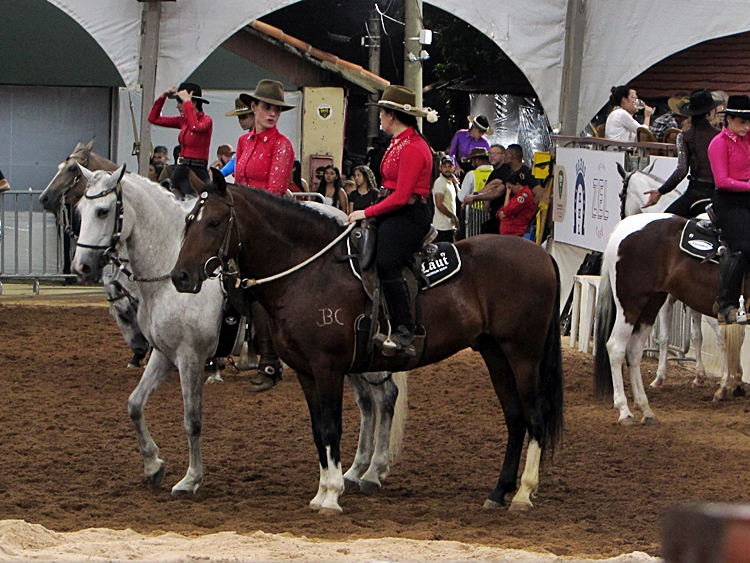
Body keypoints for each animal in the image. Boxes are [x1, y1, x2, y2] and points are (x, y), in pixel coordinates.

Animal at [71, 165, 408, 496]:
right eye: (79, 210)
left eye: (102, 211)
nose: (81, 266)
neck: (166, 274)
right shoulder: (165, 355)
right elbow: (134, 405)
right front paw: (153, 466)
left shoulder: (190, 357)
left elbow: (192, 420)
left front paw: (190, 478)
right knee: (367, 403)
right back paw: (356, 471)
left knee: (385, 396)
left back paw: (373, 471)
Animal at [169, 174, 564, 514]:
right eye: (188, 220)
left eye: (214, 222)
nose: (181, 277)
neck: (309, 272)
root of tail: (541, 255)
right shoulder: (307, 373)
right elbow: (319, 430)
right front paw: (322, 492)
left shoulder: (328, 367)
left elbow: (332, 427)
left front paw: (331, 495)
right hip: (495, 353)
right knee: (515, 418)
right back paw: (498, 492)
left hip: (523, 355)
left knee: (534, 416)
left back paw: (524, 493)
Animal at [594, 213, 745, 425]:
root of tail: (625, 225)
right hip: (631, 304)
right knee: (616, 348)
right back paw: (625, 411)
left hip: (651, 304)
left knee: (634, 351)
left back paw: (645, 408)